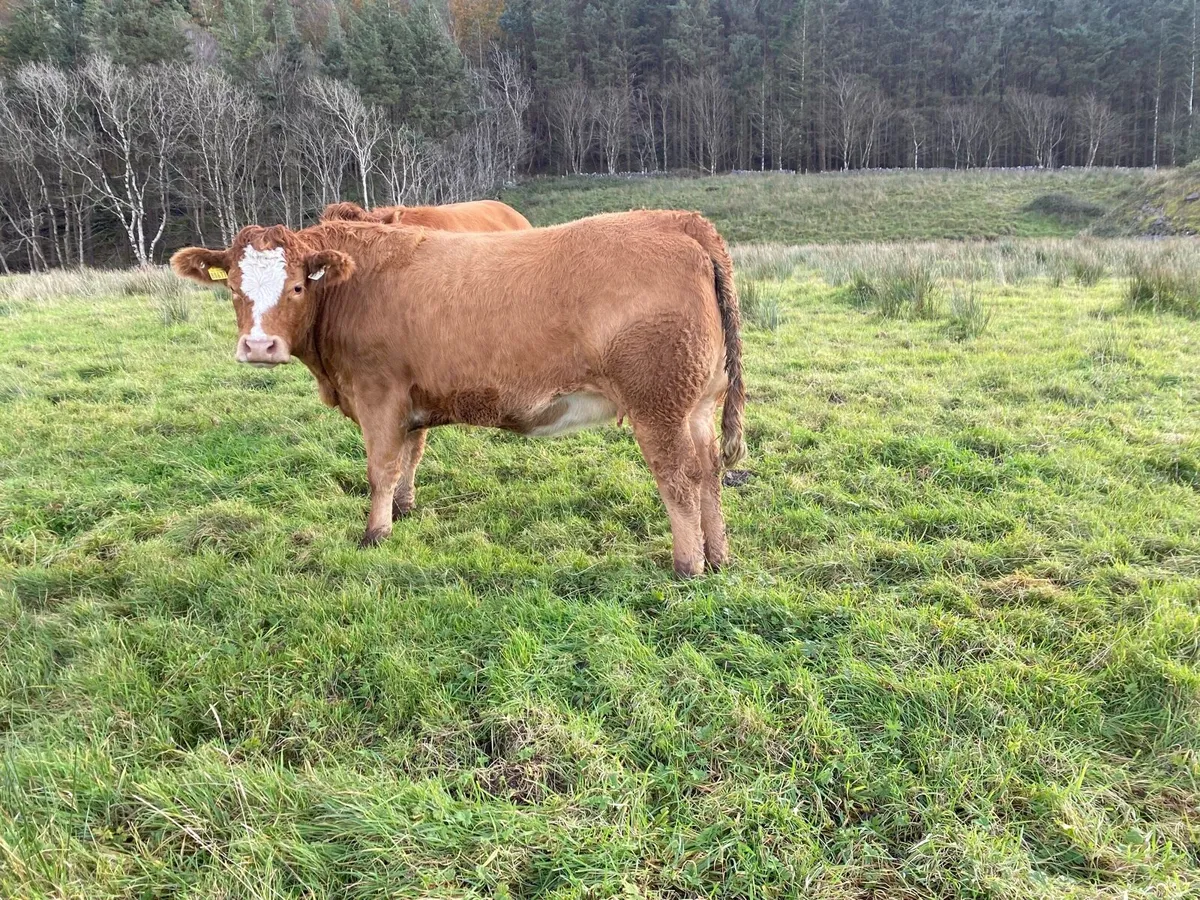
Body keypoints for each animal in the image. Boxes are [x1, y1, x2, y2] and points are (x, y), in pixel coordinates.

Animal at [170, 211, 746, 577]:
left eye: (296, 286)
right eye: (233, 289)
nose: (259, 346)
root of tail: (676, 219)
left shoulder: (378, 394)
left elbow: (380, 468)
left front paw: (375, 533)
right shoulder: (411, 401)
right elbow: (409, 457)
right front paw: (403, 510)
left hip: (658, 405)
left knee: (678, 480)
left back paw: (688, 565)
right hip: (698, 404)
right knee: (707, 471)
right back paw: (718, 557)